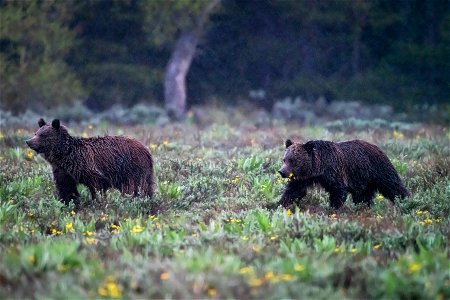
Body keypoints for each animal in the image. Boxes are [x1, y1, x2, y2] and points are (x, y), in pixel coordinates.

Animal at [26, 119, 154, 206]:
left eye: (43, 135)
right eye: (35, 133)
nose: (28, 141)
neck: (64, 156)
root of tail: (146, 148)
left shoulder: (89, 168)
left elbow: (96, 187)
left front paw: (96, 201)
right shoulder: (63, 171)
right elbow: (66, 187)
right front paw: (68, 202)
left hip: (132, 168)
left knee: (136, 187)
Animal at [276, 138, 410, 209]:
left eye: (293, 161)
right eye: (285, 159)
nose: (282, 172)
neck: (318, 168)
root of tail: (378, 147)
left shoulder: (335, 172)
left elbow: (338, 191)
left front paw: (333, 208)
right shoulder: (304, 178)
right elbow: (294, 190)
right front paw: (281, 204)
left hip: (378, 170)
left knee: (393, 186)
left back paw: (407, 201)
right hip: (363, 181)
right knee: (362, 197)